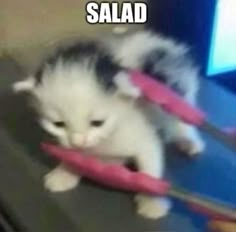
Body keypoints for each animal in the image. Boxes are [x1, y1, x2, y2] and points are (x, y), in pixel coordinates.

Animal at [13, 30, 205, 219]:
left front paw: (151, 202)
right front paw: (65, 173)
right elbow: (75, 157)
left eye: (97, 123)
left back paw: (189, 141)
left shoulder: (143, 135)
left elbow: (149, 170)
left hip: (179, 98)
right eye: (58, 124)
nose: (79, 142)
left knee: (181, 124)